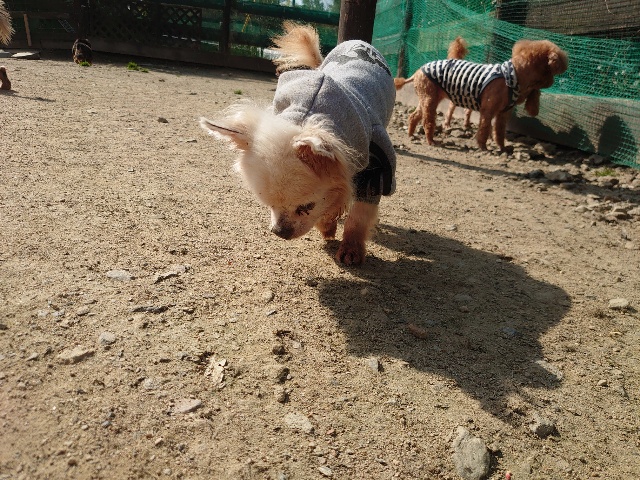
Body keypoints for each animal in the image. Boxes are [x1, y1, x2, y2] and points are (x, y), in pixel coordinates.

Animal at [200, 22, 396, 265]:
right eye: (268, 204)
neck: (308, 112)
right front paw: (328, 224)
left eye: (306, 207)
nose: (279, 232)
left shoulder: (376, 166)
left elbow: (359, 214)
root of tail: (358, 42)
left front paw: (351, 249)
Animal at [395, 38, 568, 150]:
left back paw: (411, 134)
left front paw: (502, 148)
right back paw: (431, 140)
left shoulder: (503, 113)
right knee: (428, 121)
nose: (566, 65)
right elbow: (484, 128)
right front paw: (483, 147)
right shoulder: (488, 110)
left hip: (427, 98)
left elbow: (499, 131)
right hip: (430, 98)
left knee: (414, 116)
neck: (514, 76)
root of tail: (417, 71)